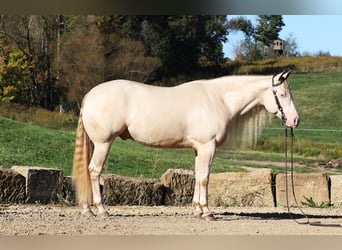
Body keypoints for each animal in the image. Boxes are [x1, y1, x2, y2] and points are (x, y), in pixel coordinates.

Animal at [72, 69, 300, 220]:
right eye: (281, 95)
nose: (295, 120)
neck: (219, 99)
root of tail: (89, 95)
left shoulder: (199, 149)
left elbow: (198, 175)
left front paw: (198, 209)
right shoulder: (208, 147)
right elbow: (205, 178)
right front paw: (207, 212)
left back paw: (88, 209)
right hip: (103, 143)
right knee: (94, 171)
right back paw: (101, 210)